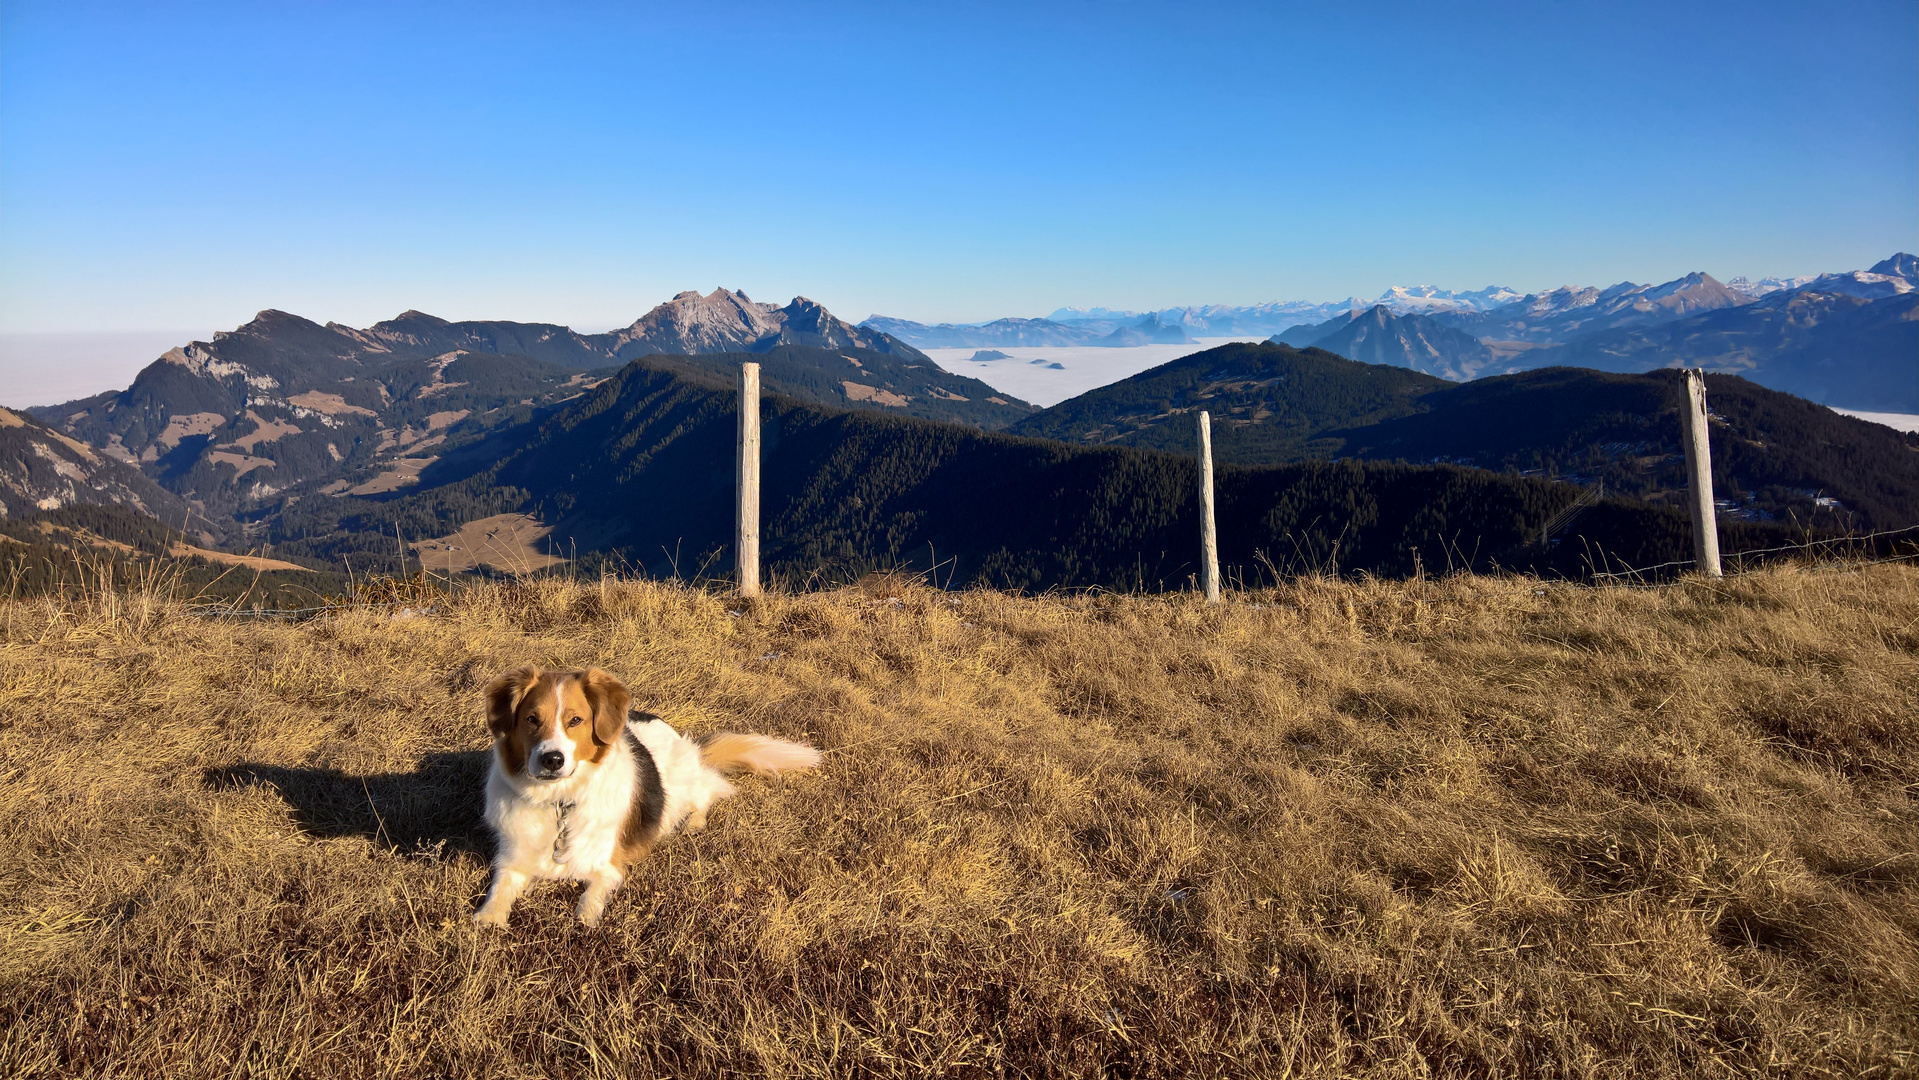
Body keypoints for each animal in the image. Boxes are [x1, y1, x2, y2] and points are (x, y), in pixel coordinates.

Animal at [475, 659, 821, 928]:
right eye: (531, 719)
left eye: (575, 720)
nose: (552, 759)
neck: (558, 800)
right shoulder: (512, 859)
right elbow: (500, 887)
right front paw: (489, 916)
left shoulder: (609, 865)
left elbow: (588, 901)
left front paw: (586, 914)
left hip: (681, 785)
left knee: (707, 792)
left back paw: (693, 822)